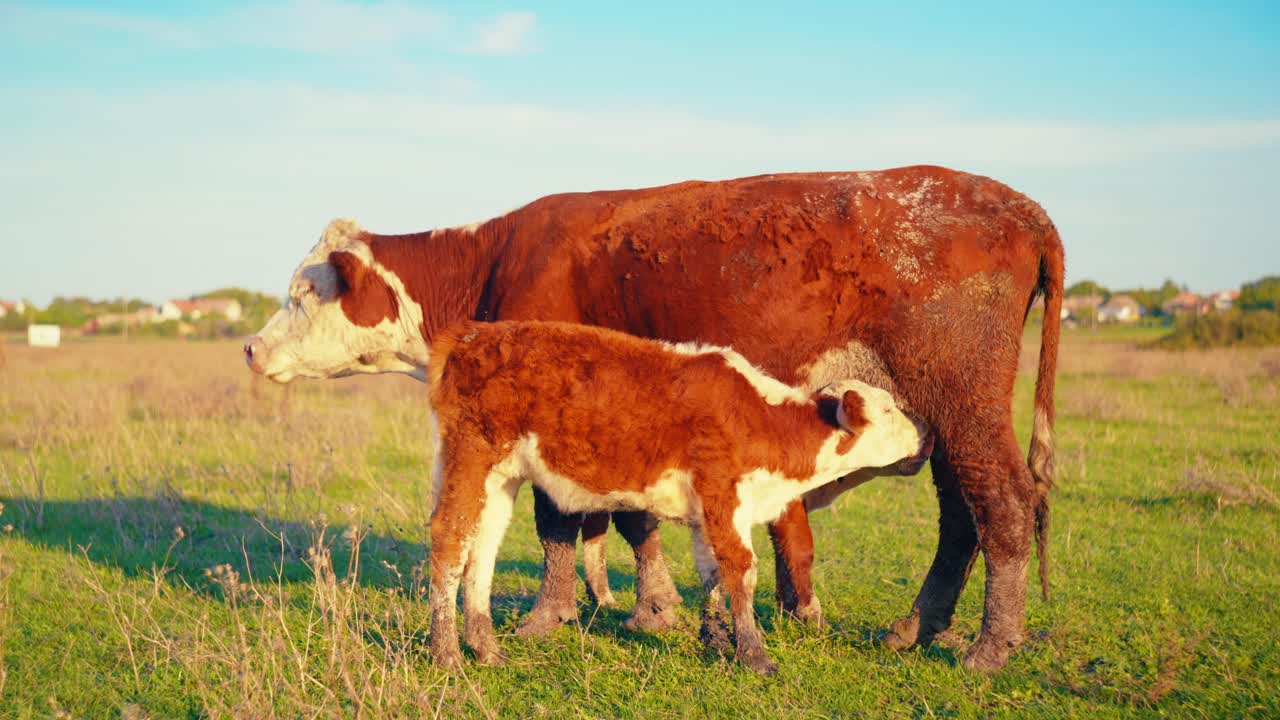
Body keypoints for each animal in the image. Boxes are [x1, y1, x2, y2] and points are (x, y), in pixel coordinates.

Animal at [422, 320, 931, 674]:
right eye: (888, 408)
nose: (926, 431)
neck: (761, 420)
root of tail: (472, 335)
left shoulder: (711, 509)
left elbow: (713, 575)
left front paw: (718, 643)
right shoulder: (724, 494)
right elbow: (742, 571)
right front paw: (754, 655)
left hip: (500, 479)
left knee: (481, 551)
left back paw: (487, 649)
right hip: (471, 457)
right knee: (450, 543)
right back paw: (447, 655)